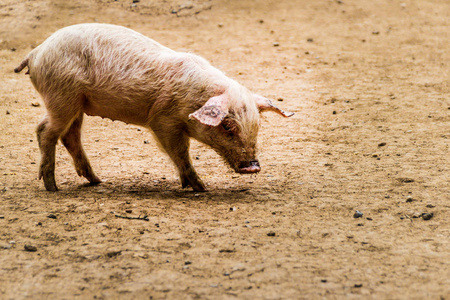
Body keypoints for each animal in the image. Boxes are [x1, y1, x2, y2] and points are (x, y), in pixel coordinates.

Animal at [14, 23, 294, 192]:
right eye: (227, 126)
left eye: (257, 126)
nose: (253, 166)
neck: (193, 99)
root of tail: (36, 52)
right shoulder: (163, 121)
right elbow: (179, 152)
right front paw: (200, 187)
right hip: (61, 97)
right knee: (44, 130)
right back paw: (53, 187)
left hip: (76, 103)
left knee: (70, 136)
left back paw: (96, 181)